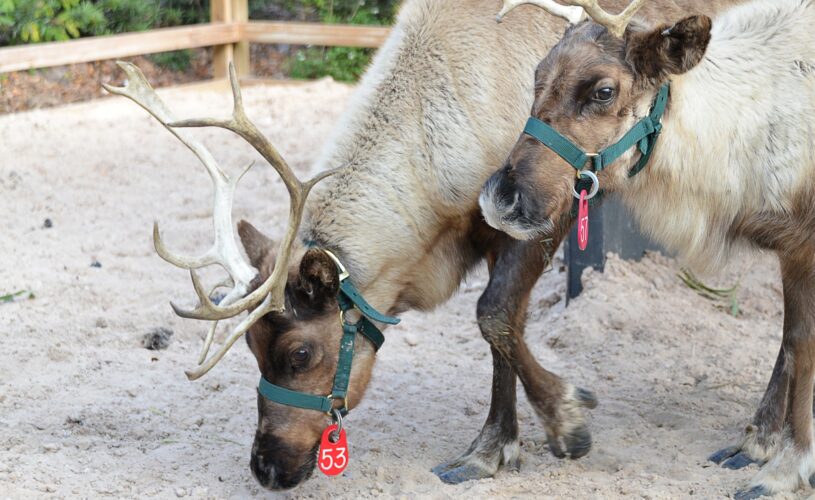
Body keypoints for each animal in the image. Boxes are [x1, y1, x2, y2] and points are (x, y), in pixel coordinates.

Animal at [106, 0, 739, 491]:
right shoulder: (488, 226)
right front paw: (498, 446)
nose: (266, 467)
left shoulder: (542, 209)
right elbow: (503, 330)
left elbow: (495, 315)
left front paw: (562, 421)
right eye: (252, 350)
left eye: (300, 354)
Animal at [480, 0, 815, 497]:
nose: (501, 199)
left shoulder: (803, 244)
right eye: (536, 77)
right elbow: (791, 341)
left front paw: (788, 466)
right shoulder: (791, 246)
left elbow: (801, 347)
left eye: (603, 90)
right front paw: (758, 442)